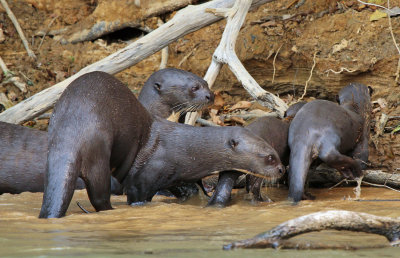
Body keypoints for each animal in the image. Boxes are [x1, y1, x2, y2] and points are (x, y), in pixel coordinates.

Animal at [38, 70, 282, 218]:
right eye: (269, 157)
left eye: (276, 154)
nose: (281, 170)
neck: (186, 150)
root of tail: (72, 133)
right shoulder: (144, 179)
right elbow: (138, 196)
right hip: (98, 152)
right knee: (99, 195)